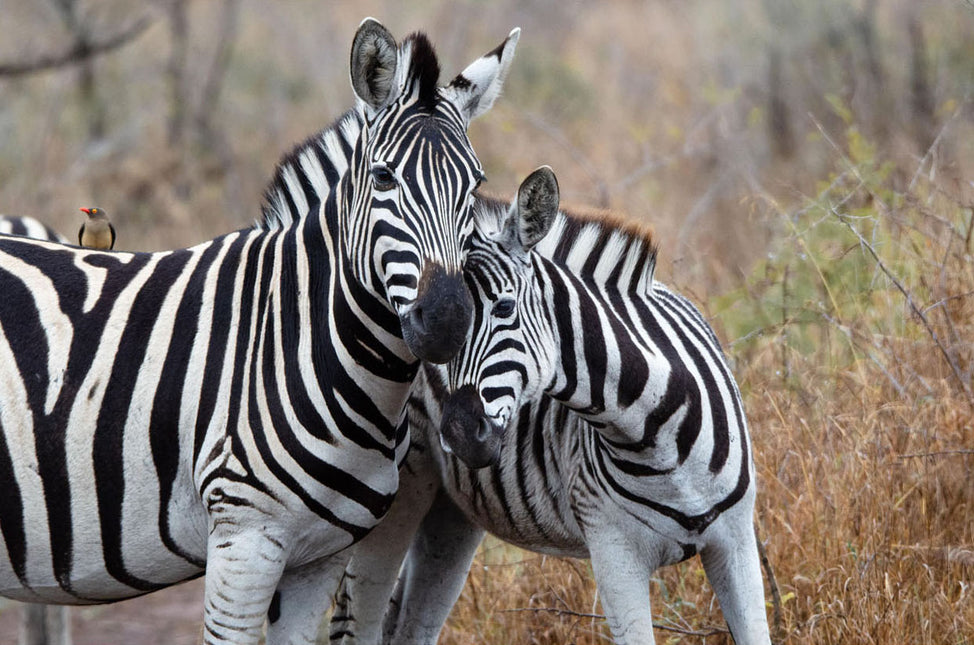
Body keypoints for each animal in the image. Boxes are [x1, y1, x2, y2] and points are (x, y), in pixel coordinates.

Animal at [0, 18, 519, 645]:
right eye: (384, 177)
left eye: (475, 185)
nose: (446, 320)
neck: (300, 338)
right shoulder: (244, 540)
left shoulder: (321, 554)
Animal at [332, 167, 772, 645]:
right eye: (454, 326)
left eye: (505, 307)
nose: (460, 434)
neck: (657, 435)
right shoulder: (614, 552)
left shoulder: (736, 542)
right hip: (404, 489)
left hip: (452, 513)